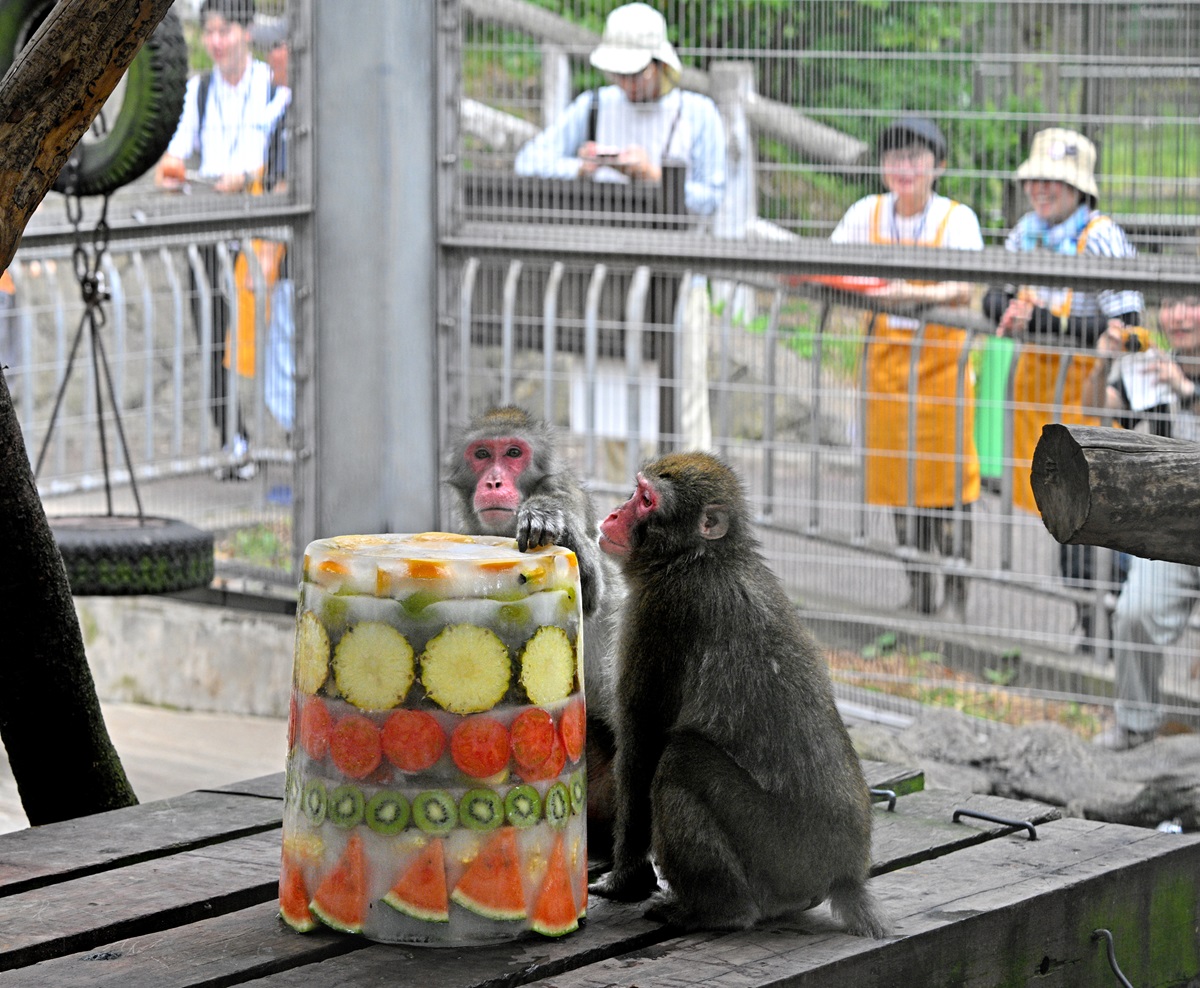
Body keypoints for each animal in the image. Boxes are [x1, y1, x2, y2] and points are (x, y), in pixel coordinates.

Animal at [446, 405, 624, 845]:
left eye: (513, 453)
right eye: (481, 454)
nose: (494, 481)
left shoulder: (565, 492)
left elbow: (589, 589)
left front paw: (545, 517)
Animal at [590, 451, 892, 941]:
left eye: (646, 501)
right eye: (636, 492)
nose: (615, 513)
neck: (695, 557)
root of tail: (846, 874)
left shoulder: (662, 611)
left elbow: (643, 745)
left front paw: (623, 880)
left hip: (782, 849)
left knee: (680, 759)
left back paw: (721, 910)